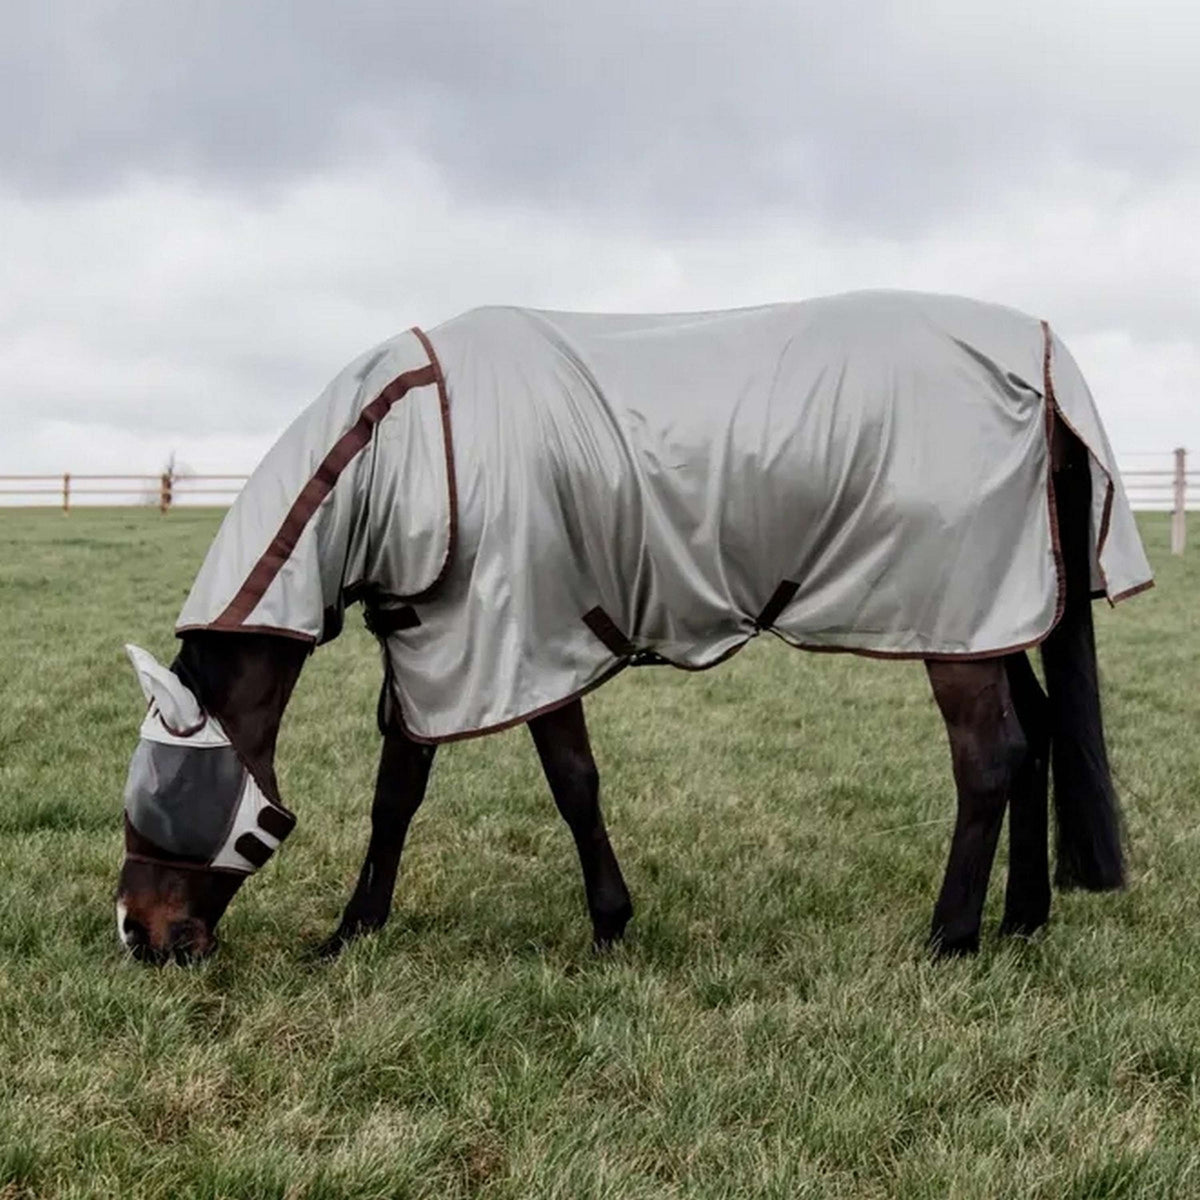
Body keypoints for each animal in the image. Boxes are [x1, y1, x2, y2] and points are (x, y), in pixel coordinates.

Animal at [114, 292, 1152, 964]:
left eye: (165, 793)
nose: (139, 935)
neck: (413, 444)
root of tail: (1041, 359)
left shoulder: (524, 642)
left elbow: (572, 784)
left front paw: (610, 924)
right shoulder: (434, 651)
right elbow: (396, 795)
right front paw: (349, 933)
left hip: (953, 625)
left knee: (989, 756)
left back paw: (950, 937)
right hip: (988, 615)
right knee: (1036, 736)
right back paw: (1021, 921)